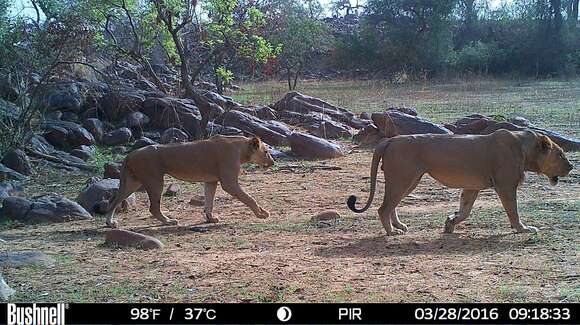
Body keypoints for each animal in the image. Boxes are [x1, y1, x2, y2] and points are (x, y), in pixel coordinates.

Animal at [103, 134, 276, 228]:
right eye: (266, 152)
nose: (273, 162)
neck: (242, 149)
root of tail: (130, 153)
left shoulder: (211, 181)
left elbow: (209, 201)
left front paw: (210, 218)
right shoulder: (229, 182)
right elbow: (249, 198)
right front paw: (261, 213)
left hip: (133, 182)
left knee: (113, 201)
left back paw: (110, 223)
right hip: (154, 180)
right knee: (153, 208)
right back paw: (169, 221)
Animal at [346, 129, 572, 235]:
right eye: (561, 154)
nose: (571, 167)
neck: (524, 148)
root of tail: (390, 139)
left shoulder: (472, 187)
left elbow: (465, 210)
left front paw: (450, 223)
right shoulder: (506, 185)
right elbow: (513, 211)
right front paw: (523, 229)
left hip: (409, 181)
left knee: (392, 205)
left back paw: (399, 226)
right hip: (403, 179)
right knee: (383, 207)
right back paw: (392, 232)